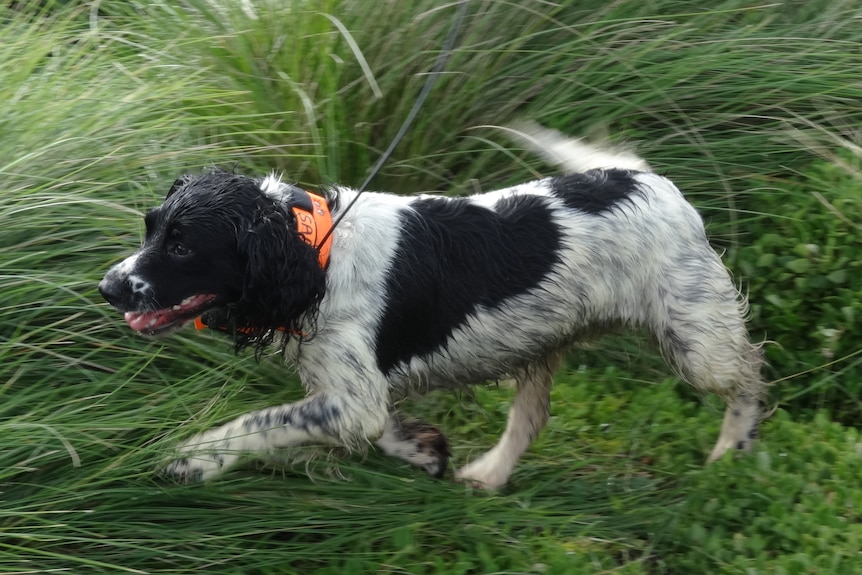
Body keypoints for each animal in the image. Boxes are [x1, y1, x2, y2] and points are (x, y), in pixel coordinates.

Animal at [99, 127, 768, 490]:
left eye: (182, 246)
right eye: (151, 228)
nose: (108, 287)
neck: (318, 250)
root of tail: (648, 179)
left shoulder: (351, 398)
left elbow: (259, 422)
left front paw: (192, 460)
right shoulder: (355, 395)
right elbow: (379, 426)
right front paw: (422, 448)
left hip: (696, 340)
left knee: (751, 374)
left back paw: (732, 452)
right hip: (542, 339)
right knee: (531, 417)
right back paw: (490, 474)